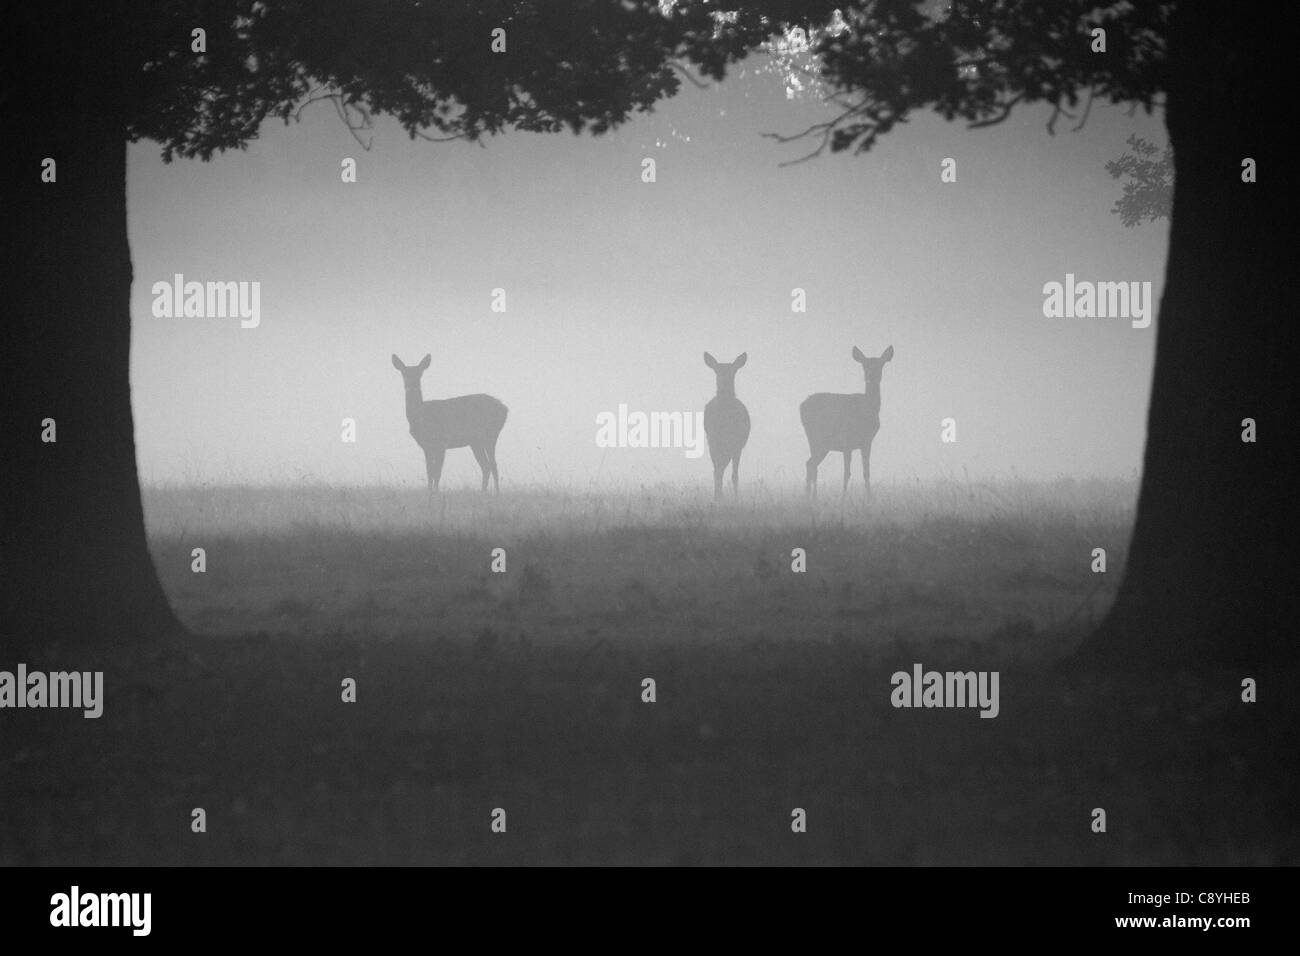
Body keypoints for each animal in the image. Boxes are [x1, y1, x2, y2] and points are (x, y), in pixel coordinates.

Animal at [391, 353, 508, 496]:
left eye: (420, 373)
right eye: (404, 373)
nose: (412, 386)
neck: (420, 416)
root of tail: (504, 408)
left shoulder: (442, 443)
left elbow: (437, 472)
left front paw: (436, 494)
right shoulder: (426, 446)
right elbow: (429, 471)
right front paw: (429, 492)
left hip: (490, 435)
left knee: (493, 465)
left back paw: (496, 493)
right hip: (476, 442)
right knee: (486, 466)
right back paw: (483, 493)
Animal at [703, 352, 751, 500]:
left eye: (733, 371)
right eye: (716, 371)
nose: (724, 381)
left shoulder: (737, 445)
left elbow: (734, 476)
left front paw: (735, 499)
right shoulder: (714, 441)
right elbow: (718, 471)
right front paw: (718, 497)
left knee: (723, 469)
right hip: (712, 443)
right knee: (718, 469)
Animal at [800, 345, 894, 498]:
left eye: (880, 365)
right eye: (864, 365)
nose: (870, 377)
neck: (868, 409)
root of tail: (802, 405)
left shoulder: (866, 442)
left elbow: (866, 472)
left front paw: (869, 498)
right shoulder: (847, 441)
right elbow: (847, 473)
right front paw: (842, 499)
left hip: (820, 443)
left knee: (810, 464)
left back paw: (810, 497)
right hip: (817, 439)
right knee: (812, 464)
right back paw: (811, 497)